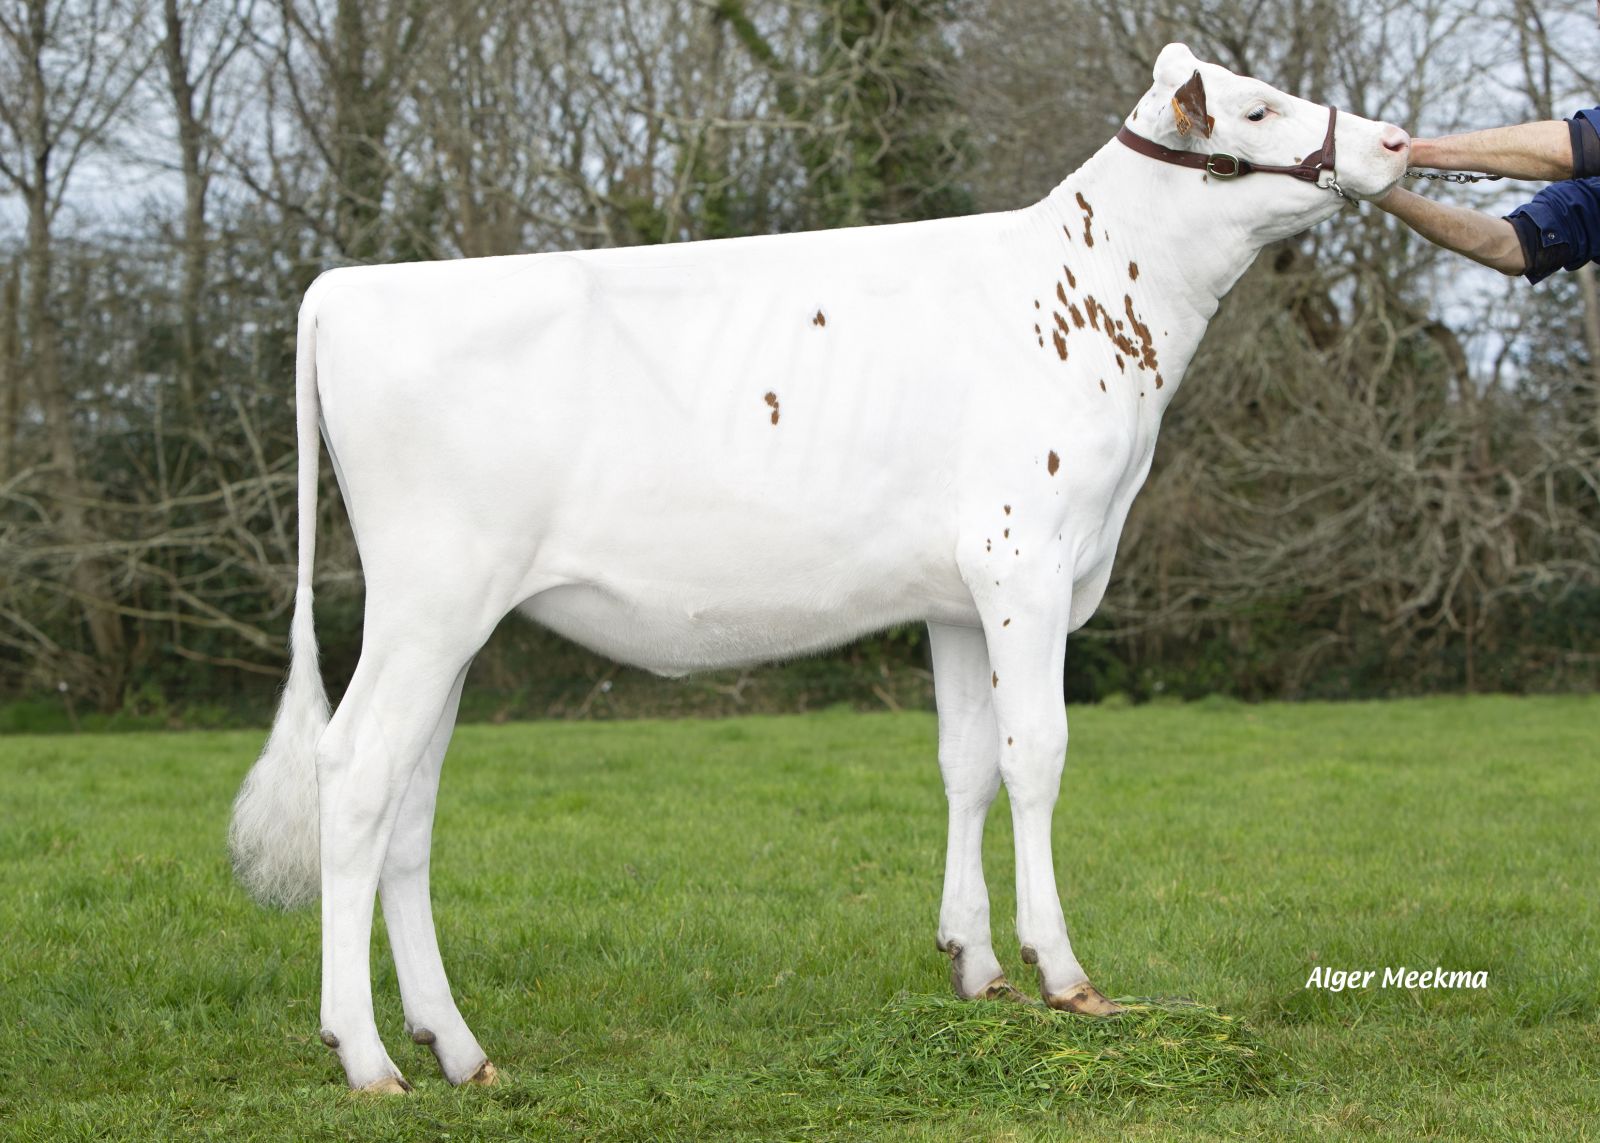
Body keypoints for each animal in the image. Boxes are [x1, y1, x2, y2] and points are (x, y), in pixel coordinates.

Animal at [229, 43, 1412, 1092]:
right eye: (1255, 108)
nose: (1397, 140)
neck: (1087, 305)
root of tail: (346, 288)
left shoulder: (957, 598)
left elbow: (965, 764)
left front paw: (976, 969)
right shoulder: (1024, 560)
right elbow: (1036, 757)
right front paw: (1064, 976)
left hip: (451, 622)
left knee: (409, 807)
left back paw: (457, 1048)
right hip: (430, 602)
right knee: (355, 774)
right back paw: (367, 1058)